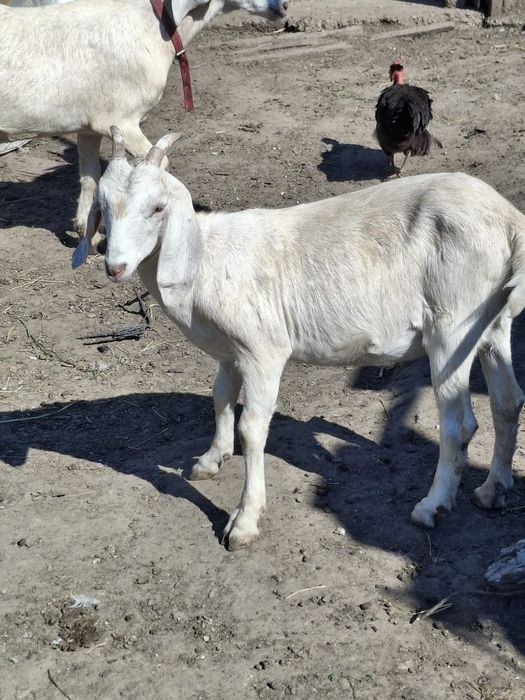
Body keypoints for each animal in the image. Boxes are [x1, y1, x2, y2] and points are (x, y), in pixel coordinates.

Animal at [0, 0, 287, 238]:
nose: (283, 5)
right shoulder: (122, 120)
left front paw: (86, 233)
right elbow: (158, 164)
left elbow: (90, 177)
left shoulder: (90, 125)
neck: (150, 26)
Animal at [73, 128, 525, 551]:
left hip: (452, 325)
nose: (115, 266)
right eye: (104, 209)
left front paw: (244, 520)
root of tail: (508, 220)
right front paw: (212, 458)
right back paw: (492, 489)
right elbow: (220, 396)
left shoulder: (262, 350)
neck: (205, 259)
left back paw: (433, 505)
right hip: (490, 323)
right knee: (507, 401)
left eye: (157, 208)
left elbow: (252, 428)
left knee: (459, 422)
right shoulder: (230, 351)